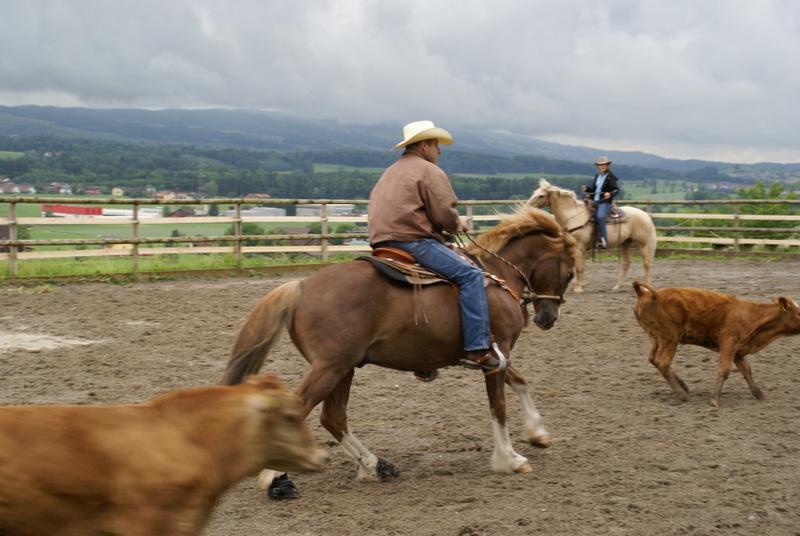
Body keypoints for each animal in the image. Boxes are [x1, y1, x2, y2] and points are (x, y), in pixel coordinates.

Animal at [222, 205, 576, 496]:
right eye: (570, 272)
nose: (547, 317)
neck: (497, 276)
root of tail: (300, 286)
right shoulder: (494, 355)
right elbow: (498, 407)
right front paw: (510, 459)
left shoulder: (497, 356)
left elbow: (521, 382)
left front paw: (538, 433)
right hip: (331, 367)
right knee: (303, 409)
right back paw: (277, 478)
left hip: (343, 368)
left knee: (333, 416)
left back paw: (374, 466)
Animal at [527, 178, 656, 293]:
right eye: (534, 192)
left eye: (541, 195)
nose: (527, 206)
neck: (572, 216)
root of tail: (645, 215)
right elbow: (576, 267)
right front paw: (579, 286)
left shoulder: (580, 246)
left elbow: (580, 267)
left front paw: (579, 288)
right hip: (625, 242)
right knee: (626, 263)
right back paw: (616, 287)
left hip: (642, 243)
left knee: (646, 263)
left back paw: (647, 287)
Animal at [632, 281, 800, 407]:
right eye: (798, 313)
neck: (751, 316)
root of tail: (645, 294)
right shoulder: (728, 342)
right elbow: (724, 370)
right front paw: (715, 400)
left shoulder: (738, 350)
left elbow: (746, 370)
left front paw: (758, 393)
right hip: (670, 336)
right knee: (663, 362)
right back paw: (682, 394)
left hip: (656, 337)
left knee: (653, 359)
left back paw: (683, 386)